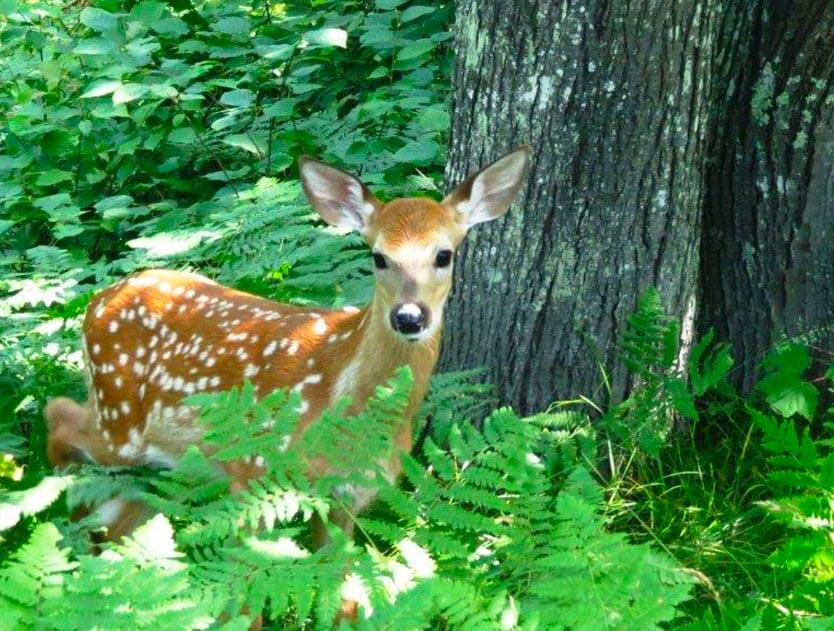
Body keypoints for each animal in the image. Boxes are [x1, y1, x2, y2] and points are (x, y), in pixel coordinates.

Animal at [44, 146, 528, 544]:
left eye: (444, 255)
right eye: (378, 257)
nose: (409, 316)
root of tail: (98, 301)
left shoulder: (349, 496)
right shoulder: (254, 474)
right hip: (119, 419)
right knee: (59, 416)